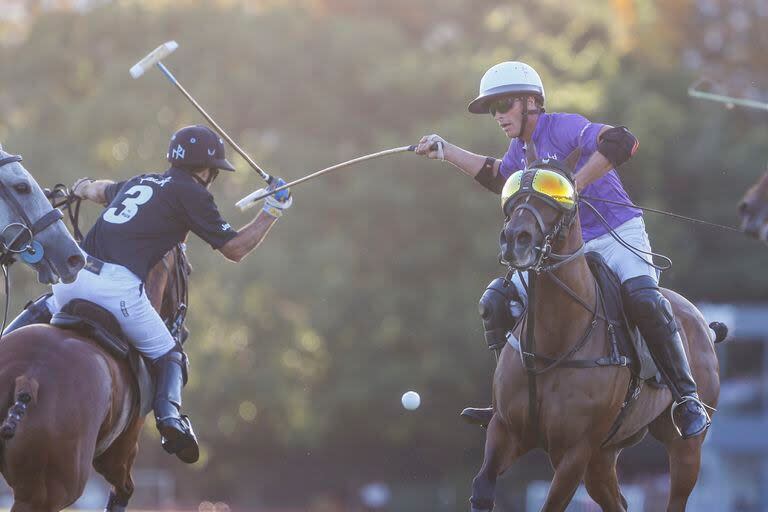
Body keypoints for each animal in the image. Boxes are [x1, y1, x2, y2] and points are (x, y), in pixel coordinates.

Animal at [0, 246, 188, 510]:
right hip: (48, 492)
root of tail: (27, 379)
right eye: (187, 269)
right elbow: (124, 488)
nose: (185, 331)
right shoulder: (121, 450)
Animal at [472, 173, 724, 512]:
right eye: (512, 192)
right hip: (605, 454)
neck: (554, 341)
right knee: (617, 502)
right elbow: (482, 488)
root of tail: (704, 324)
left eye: (555, 192)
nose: (515, 239)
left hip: (684, 449)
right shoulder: (506, 429)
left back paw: (691, 412)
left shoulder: (575, 450)